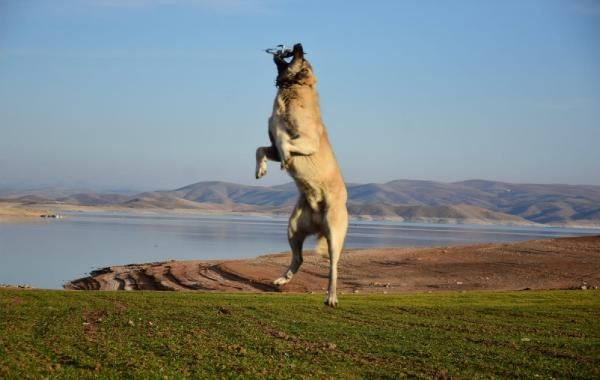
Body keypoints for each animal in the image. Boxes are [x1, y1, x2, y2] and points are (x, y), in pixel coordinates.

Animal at [255, 44, 350, 308]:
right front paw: (261, 169)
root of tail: (318, 224)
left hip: (334, 234)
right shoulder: (271, 146)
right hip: (293, 228)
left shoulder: (308, 142)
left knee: (333, 268)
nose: (298, 44)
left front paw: (285, 160)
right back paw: (282, 280)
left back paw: (331, 296)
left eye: (301, 57)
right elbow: (261, 148)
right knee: (298, 259)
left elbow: (285, 140)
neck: (295, 88)